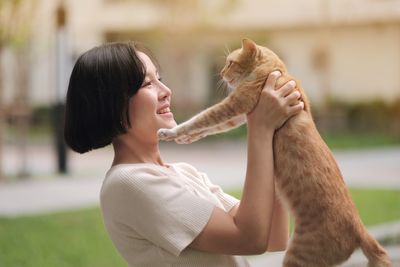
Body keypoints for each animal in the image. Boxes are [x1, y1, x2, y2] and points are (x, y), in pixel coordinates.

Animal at [157, 38, 390, 267]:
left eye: (230, 63)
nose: (221, 73)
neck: (277, 70)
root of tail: (361, 230)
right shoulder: (239, 116)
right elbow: (209, 127)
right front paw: (185, 138)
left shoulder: (234, 105)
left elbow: (202, 118)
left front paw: (171, 132)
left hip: (298, 255)